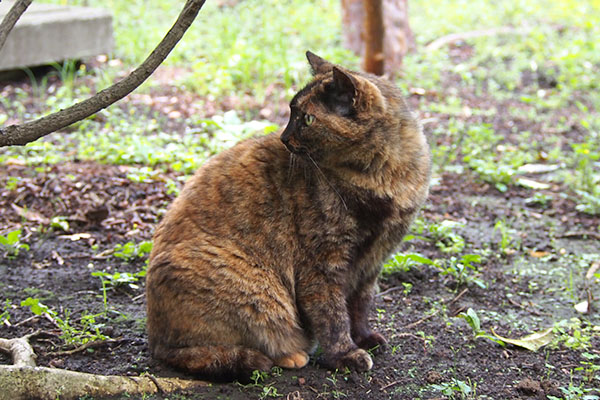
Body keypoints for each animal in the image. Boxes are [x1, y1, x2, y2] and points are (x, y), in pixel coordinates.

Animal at [148, 51, 434, 380]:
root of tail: (155, 339)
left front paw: (364, 338)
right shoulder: (322, 262)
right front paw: (345, 354)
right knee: (195, 352)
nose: (285, 138)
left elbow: (360, 304)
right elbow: (332, 313)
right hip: (253, 287)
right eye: (291, 113)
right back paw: (289, 355)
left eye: (307, 118)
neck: (380, 179)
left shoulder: (373, 260)